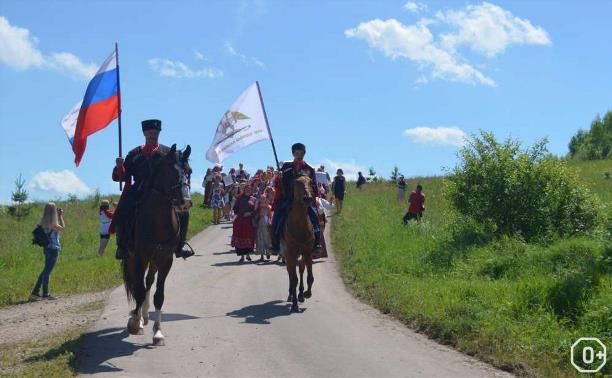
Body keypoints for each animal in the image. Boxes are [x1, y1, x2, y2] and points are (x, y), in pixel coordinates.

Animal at [122, 144, 191, 346]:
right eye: (171, 172)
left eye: (189, 171)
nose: (185, 202)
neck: (157, 221)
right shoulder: (139, 258)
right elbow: (137, 290)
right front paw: (134, 323)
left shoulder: (166, 259)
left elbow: (159, 295)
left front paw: (158, 332)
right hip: (135, 259)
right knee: (139, 285)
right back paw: (138, 317)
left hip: (154, 261)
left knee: (148, 282)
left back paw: (144, 315)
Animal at [282, 176, 316, 312]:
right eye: (296, 183)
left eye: (311, 182)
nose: (307, 198)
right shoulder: (291, 253)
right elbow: (294, 279)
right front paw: (295, 304)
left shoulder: (308, 252)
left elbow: (310, 277)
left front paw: (307, 293)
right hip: (288, 255)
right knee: (290, 273)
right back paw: (291, 295)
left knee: (301, 270)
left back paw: (300, 294)